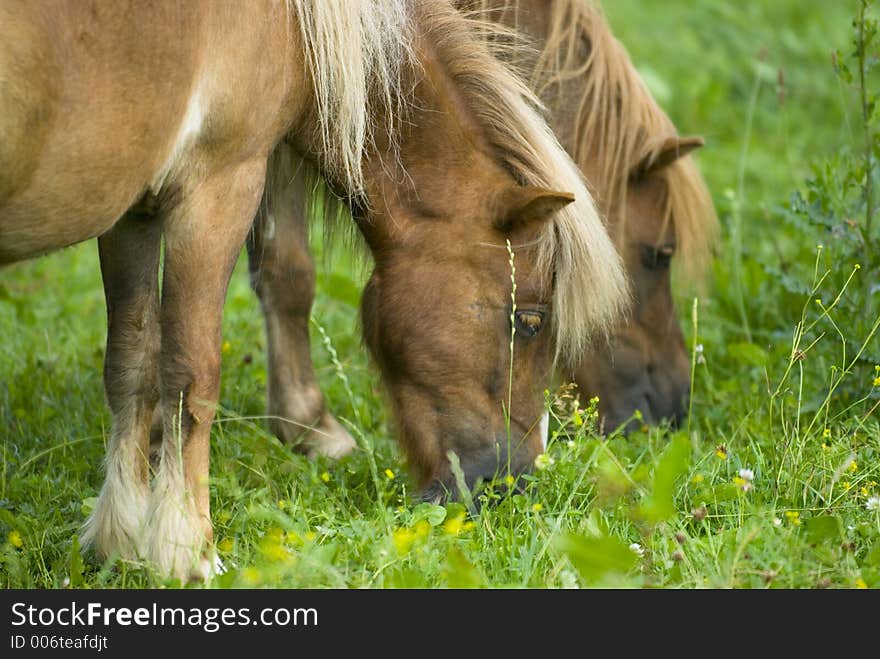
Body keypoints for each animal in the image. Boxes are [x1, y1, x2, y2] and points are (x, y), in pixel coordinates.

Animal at [0, 0, 624, 576]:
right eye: (530, 320)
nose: (512, 484)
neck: (290, 26)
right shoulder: (218, 190)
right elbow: (191, 377)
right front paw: (189, 552)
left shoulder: (133, 215)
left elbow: (131, 368)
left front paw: (120, 542)